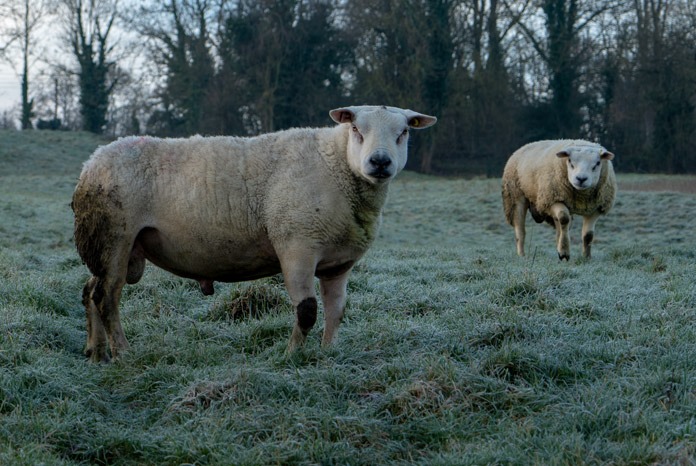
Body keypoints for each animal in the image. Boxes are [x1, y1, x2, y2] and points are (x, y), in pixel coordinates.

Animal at [73, 106, 438, 364]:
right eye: (356, 129)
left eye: (404, 132)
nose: (380, 162)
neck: (335, 165)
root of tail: (91, 163)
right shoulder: (296, 246)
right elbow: (307, 310)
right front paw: (291, 357)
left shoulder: (339, 263)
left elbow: (336, 311)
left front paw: (327, 355)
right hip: (113, 236)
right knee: (106, 297)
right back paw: (122, 353)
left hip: (109, 245)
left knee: (90, 290)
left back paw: (96, 352)